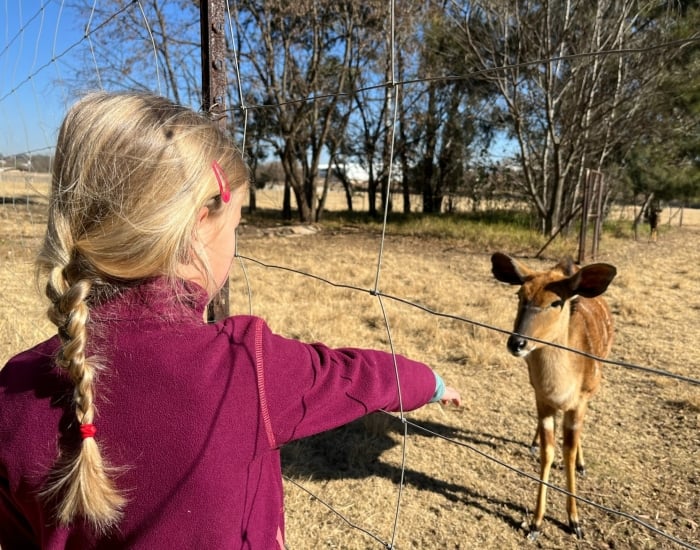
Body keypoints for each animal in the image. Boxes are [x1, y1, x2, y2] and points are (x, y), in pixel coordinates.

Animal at [490, 254, 616, 544]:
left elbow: (567, 452)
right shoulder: (542, 399)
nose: (517, 343)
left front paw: (575, 522)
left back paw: (582, 464)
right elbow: (548, 453)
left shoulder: (579, 402)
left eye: (556, 302)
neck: (560, 388)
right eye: (519, 295)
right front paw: (535, 524)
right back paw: (533, 443)